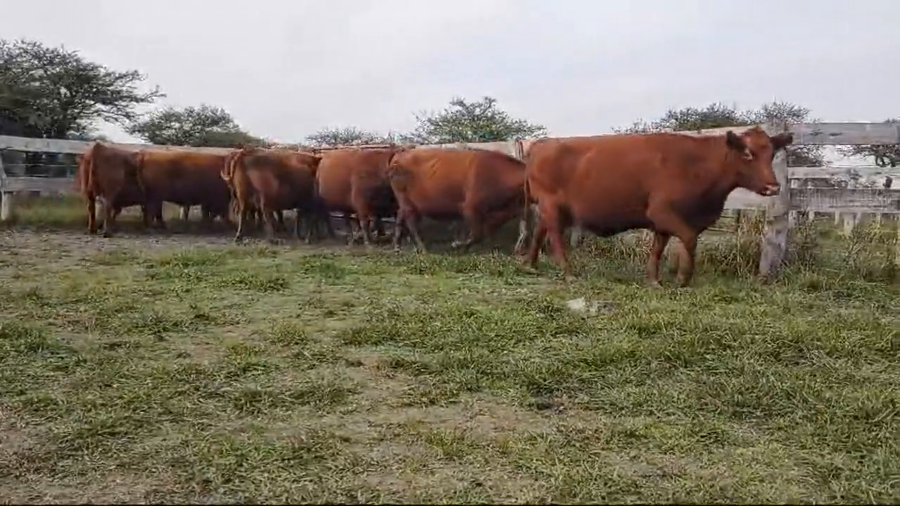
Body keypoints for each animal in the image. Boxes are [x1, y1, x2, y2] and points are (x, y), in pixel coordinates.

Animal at [387, 147, 528, 253]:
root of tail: (400, 153)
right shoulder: (470, 208)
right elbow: (477, 234)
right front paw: (459, 245)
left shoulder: (506, 212)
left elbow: (487, 232)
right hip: (407, 201)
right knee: (411, 223)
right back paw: (423, 248)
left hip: (407, 204)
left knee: (400, 216)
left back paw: (397, 246)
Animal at [521, 126, 794, 287]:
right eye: (747, 153)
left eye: (772, 153)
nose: (773, 187)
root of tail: (541, 144)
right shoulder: (664, 212)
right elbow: (689, 239)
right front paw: (683, 278)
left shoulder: (661, 221)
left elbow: (657, 249)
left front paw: (654, 280)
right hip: (552, 206)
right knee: (554, 236)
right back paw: (567, 271)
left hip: (552, 209)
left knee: (540, 230)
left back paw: (531, 265)